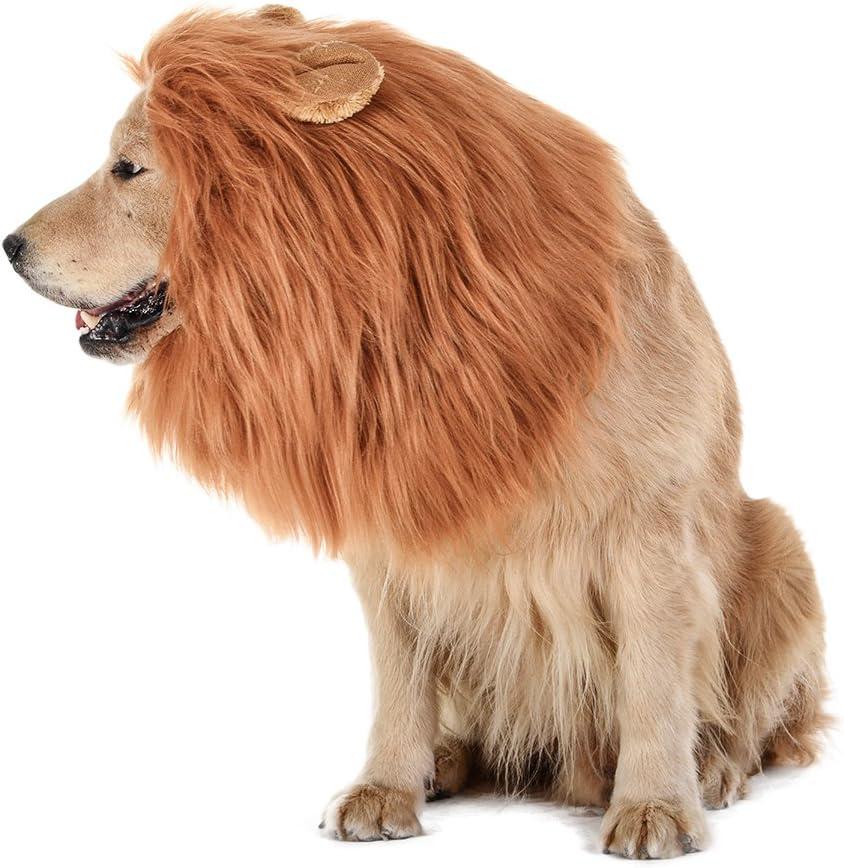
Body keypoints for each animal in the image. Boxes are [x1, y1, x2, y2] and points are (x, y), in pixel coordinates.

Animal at [3, 6, 826, 859]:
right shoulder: (393, 530)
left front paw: (656, 805)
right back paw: (448, 761)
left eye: (128, 169)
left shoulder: (649, 531)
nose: (10, 245)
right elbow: (400, 684)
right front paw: (386, 788)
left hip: (780, 542)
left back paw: (715, 770)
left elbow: (654, 683)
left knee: (757, 723)